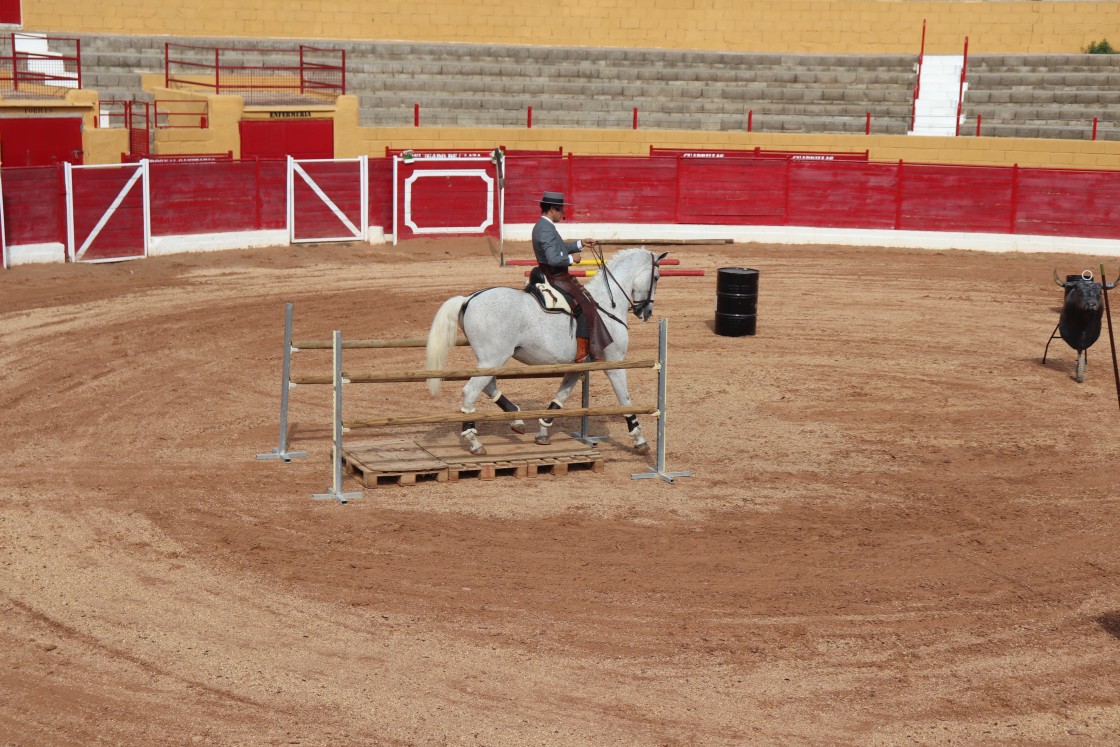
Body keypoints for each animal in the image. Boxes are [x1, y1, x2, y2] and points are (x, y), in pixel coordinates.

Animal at [421, 248, 663, 456]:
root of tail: (468, 299)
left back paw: (516, 419)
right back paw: (474, 442)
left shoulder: (576, 366)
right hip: (492, 359)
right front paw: (639, 439)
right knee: (470, 392)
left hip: (488, 361)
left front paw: (544, 432)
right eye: (657, 277)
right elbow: (625, 399)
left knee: (488, 387)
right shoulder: (614, 364)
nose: (647, 312)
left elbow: (560, 397)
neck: (607, 304)